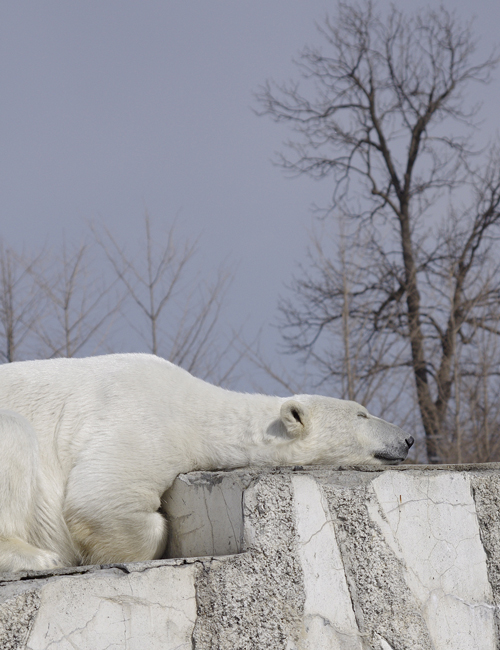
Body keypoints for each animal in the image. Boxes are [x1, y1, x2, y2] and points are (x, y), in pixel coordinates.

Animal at [0, 352, 414, 568]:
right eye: (362, 414)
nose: (409, 438)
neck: (198, 409)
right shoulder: (141, 421)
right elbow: (99, 500)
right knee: (16, 435)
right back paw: (37, 557)